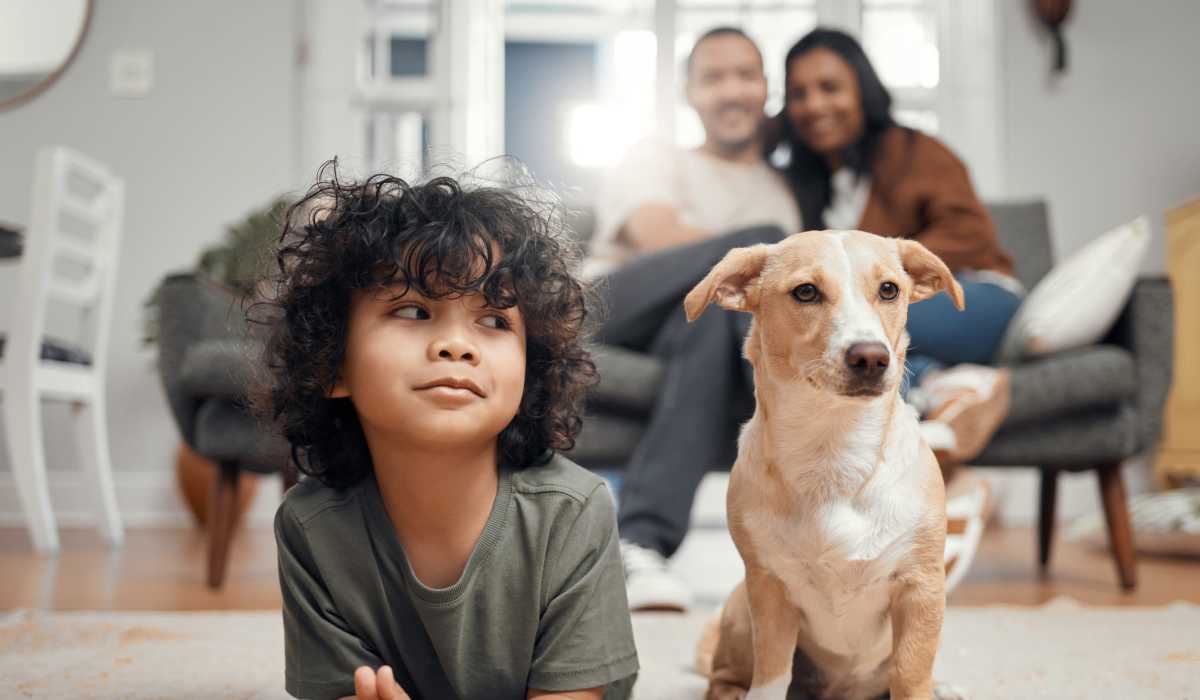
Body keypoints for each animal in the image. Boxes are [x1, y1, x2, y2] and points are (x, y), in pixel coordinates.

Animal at [686, 231, 964, 700]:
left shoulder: (921, 588)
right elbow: (771, 673)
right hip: (740, 610)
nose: (871, 357)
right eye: (806, 292)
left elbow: (911, 674)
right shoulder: (769, 587)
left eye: (889, 289)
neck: (833, 450)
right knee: (721, 677)